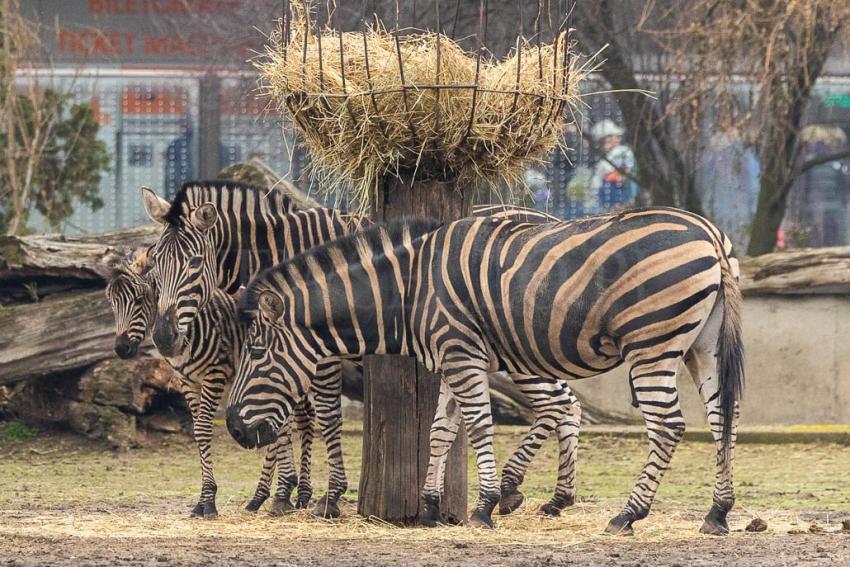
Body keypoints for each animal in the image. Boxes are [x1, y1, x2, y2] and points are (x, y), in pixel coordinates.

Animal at [105, 250, 314, 520]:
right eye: (111, 302)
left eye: (140, 300)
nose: (121, 348)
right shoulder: (188, 382)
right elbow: (198, 432)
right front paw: (203, 501)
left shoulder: (214, 375)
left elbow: (204, 430)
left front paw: (208, 501)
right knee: (281, 425)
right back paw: (263, 496)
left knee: (305, 420)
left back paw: (301, 493)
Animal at [225, 210, 744, 536]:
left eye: (257, 353)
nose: (233, 428)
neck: (409, 290)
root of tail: (710, 233)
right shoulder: (452, 356)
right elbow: (440, 430)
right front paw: (431, 507)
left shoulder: (460, 352)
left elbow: (476, 426)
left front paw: (484, 505)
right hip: (703, 345)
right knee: (723, 420)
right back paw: (717, 513)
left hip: (651, 344)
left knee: (668, 426)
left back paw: (628, 515)